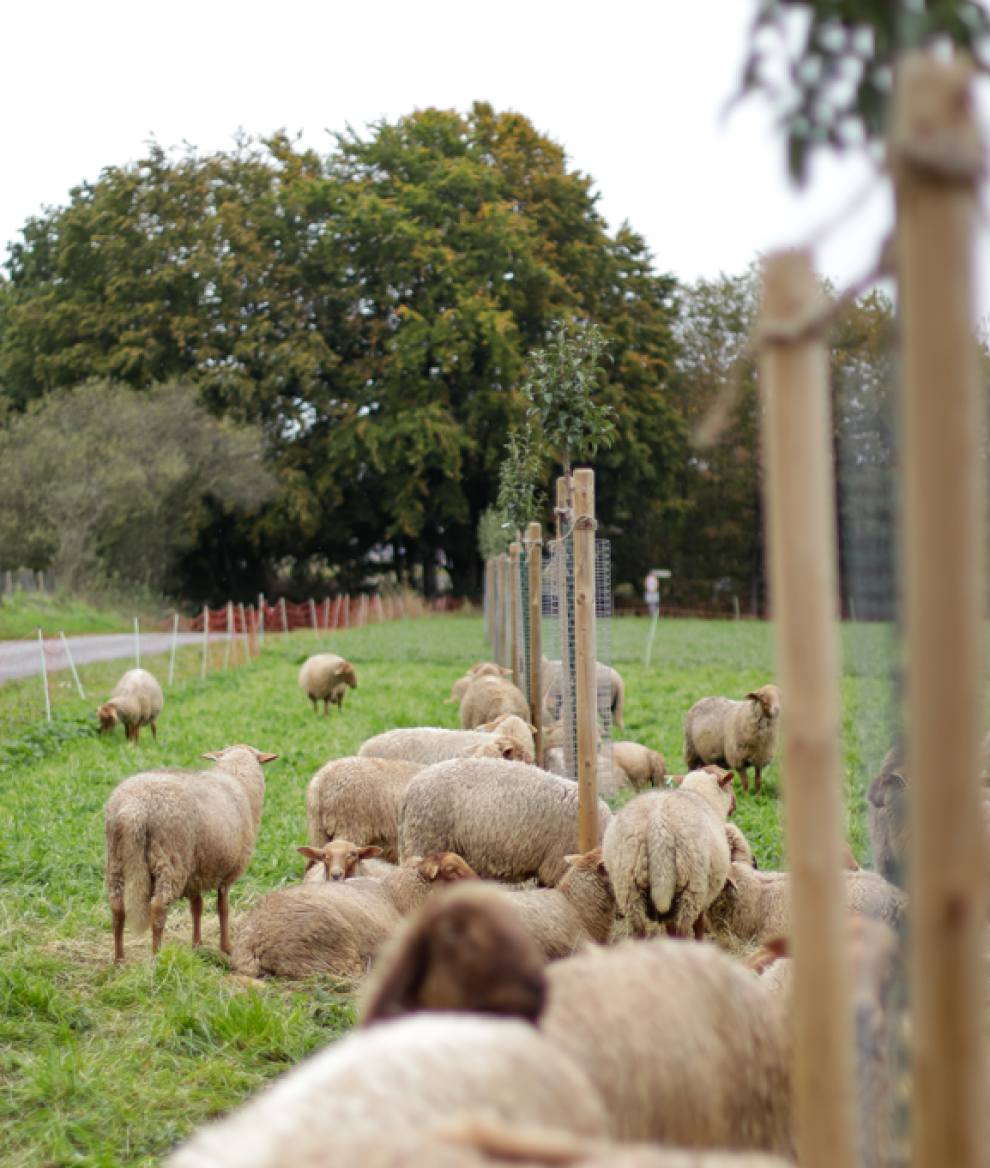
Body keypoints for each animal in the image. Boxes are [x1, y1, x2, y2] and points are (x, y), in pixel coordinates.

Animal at [104, 745, 278, 962]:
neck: (238, 779)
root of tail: (134, 808)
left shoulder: (196, 874)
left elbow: (197, 907)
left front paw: (197, 946)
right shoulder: (227, 873)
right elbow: (223, 908)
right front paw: (226, 947)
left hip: (116, 861)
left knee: (117, 909)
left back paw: (119, 960)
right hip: (171, 861)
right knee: (158, 909)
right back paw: (157, 957)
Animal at [602, 765, 737, 939]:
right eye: (731, 784)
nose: (735, 806)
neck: (702, 796)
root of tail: (658, 821)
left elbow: (670, 927)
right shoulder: (705, 896)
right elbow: (699, 924)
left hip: (627, 883)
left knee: (639, 926)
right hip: (693, 885)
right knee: (684, 927)